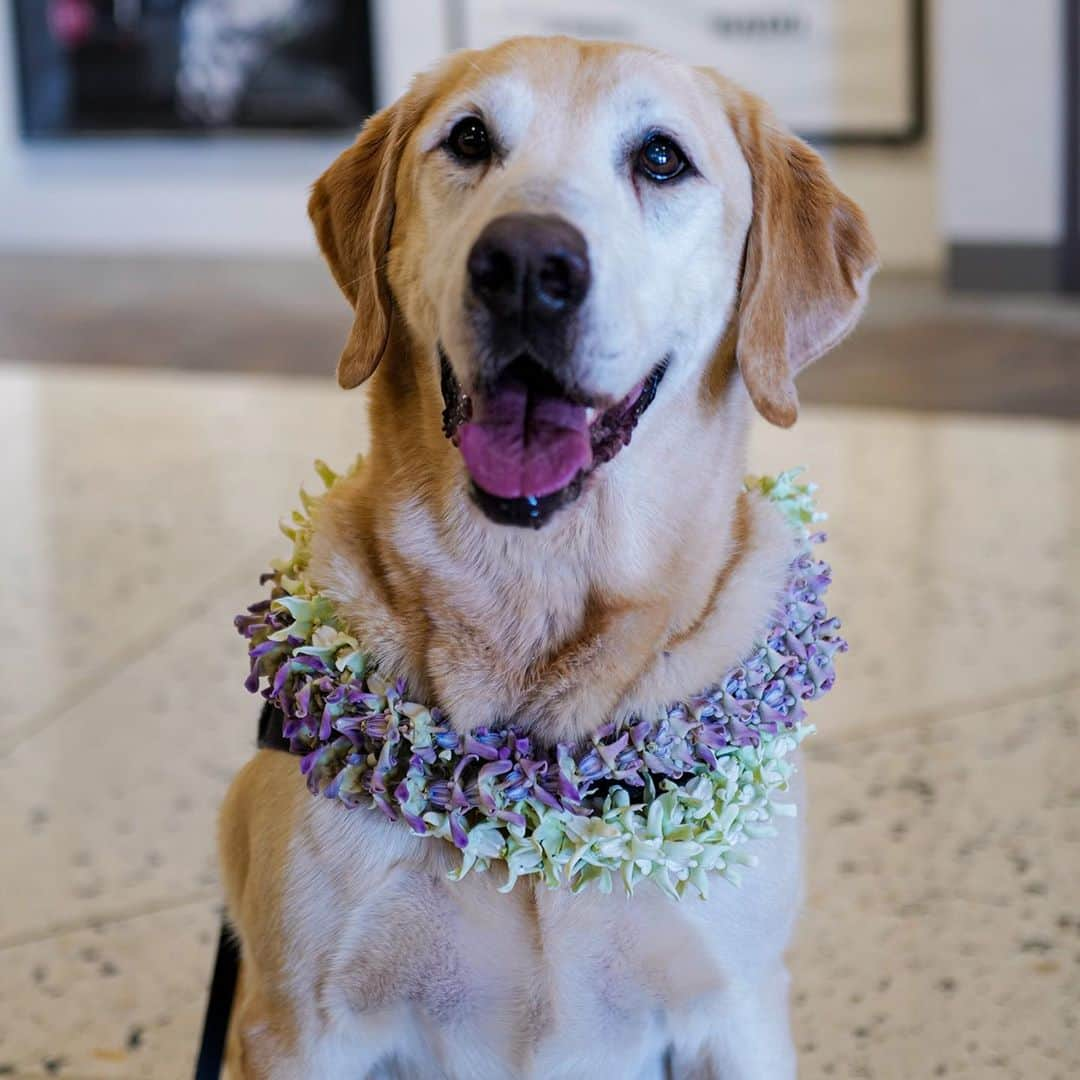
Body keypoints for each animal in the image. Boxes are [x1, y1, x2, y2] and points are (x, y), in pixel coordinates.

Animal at [221, 33, 876, 1080]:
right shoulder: (297, 1026)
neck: (534, 597)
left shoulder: (737, 1012)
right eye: (469, 138)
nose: (526, 264)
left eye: (661, 158)